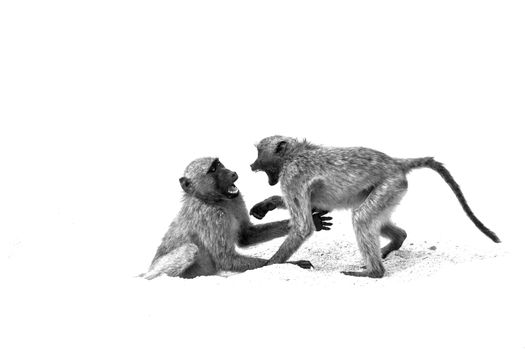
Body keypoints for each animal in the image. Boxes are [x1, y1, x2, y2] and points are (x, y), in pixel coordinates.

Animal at [139, 157, 332, 280]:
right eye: (213, 169)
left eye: (219, 163)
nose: (232, 173)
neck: (214, 200)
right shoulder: (212, 216)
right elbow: (226, 259)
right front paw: (295, 264)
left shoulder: (236, 200)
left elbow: (247, 236)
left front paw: (314, 220)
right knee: (189, 250)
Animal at [250, 135, 500, 278]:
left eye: (259, 153)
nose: (252, 165)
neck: (295, 154)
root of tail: (395, 162)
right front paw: (266, 205)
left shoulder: (292, 176)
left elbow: (303, 227)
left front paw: (269, 265)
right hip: (391, 190)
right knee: (369, 217)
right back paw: (395, 242)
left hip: (390, 184)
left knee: (361, 217)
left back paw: (374, 272)